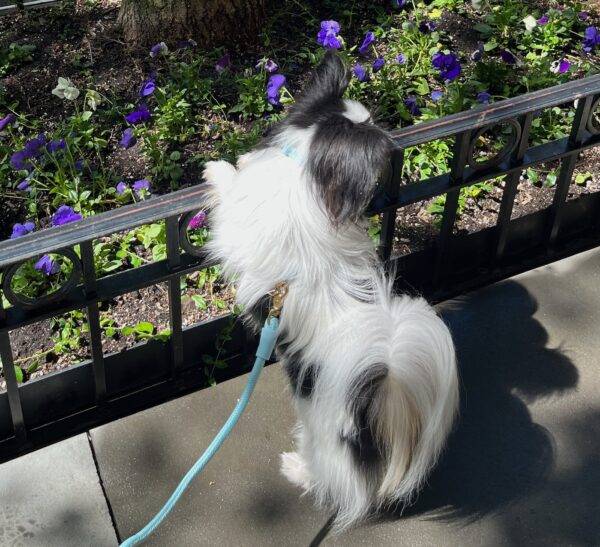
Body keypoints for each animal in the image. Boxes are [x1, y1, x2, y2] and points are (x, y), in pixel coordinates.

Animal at [203, 50, 460, 532]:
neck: (305, 162)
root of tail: (380, 397)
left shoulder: (237, 225)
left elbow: (227, 192)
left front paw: (220, 168)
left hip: (322, 439)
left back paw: (297, 470)